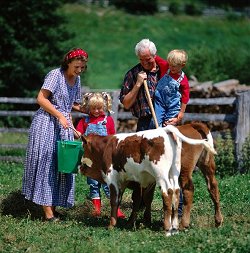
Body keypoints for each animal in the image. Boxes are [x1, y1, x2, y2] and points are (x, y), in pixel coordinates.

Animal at [79, 125, 216, 236]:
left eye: (83, 147)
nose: (80, 167)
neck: (107, 147)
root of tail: (165, 130)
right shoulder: (124, 181)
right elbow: (123, 201)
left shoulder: (112, 179)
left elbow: (114, 201)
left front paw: (111, 225)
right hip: (174, 172)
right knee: (176, 192)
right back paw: (175, 228)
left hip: (161, 174)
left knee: (168, 192)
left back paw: (167, 228)